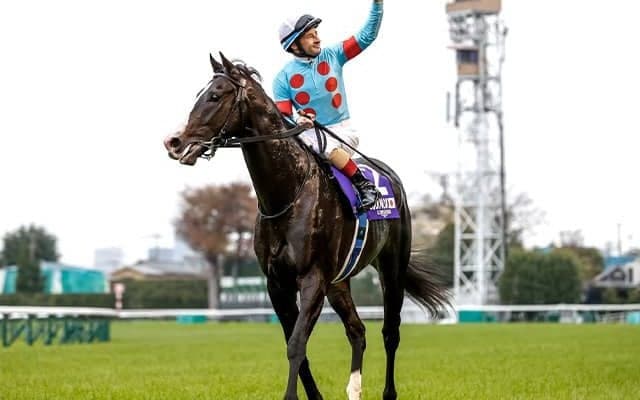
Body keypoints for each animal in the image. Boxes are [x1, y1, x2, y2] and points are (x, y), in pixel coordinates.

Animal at [164, 52, 449, 400]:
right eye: (199, 94)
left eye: (215, 96)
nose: (174, 142)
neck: (288, 193)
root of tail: (390, 176)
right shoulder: (277, 283)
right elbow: (295, 346)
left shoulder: (312, 278)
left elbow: (297, 345)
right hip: (338, 282)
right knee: (357, 330)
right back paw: (354, 389)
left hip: (391, 268)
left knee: (390, 331)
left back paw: (388, 393)